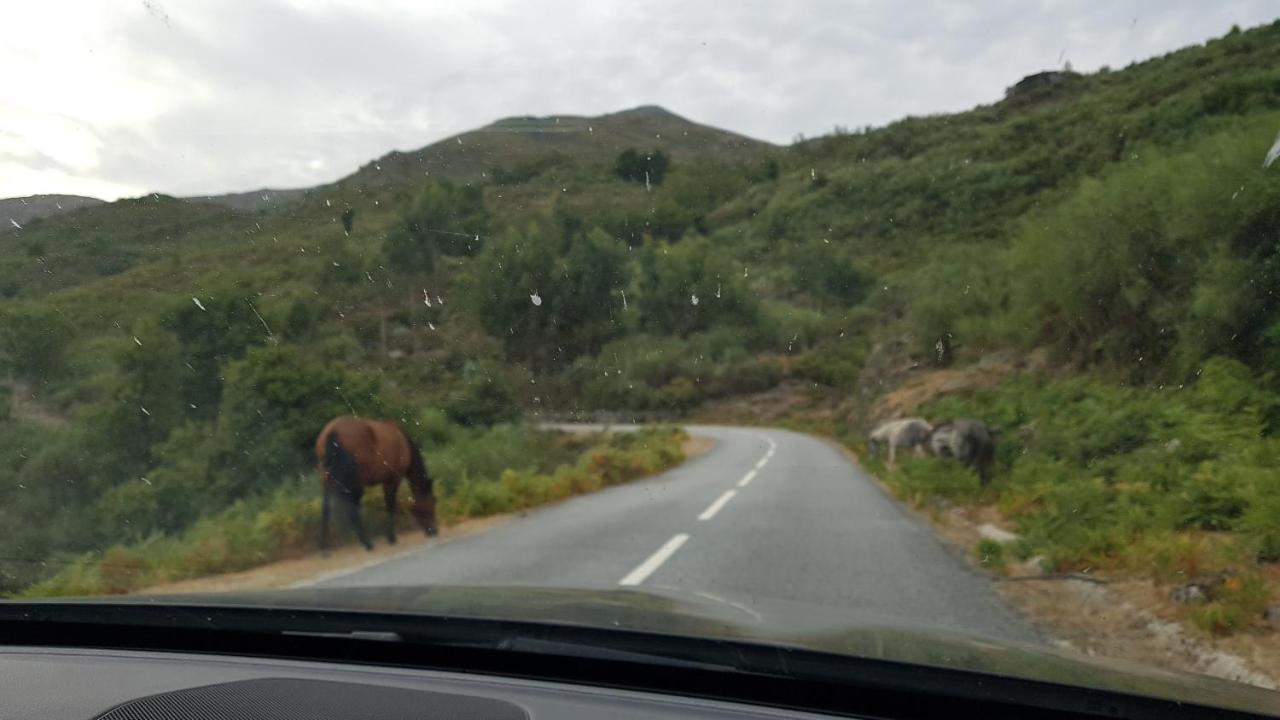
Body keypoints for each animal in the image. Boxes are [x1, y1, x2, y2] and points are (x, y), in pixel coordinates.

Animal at [314, 415, 440, 548]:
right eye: (433, 501)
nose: (434, 531)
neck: (403, 441)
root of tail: (333, 432)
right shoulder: (393, 480)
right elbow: (390, 506)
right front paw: (391, 537)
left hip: (327, 481)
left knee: (326, 510)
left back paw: (324, 546)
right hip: (354, 485)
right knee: (352, 512)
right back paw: (367, 543)